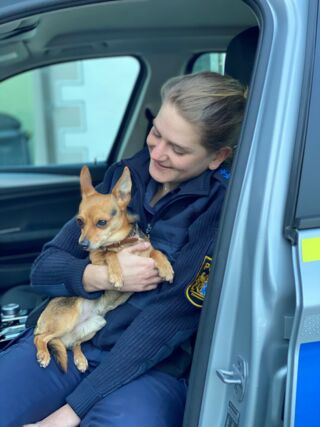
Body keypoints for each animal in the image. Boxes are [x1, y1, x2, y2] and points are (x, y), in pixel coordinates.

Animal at [33, 166, 174, 372]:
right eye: (79, 222)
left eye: (102, 222)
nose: (82, 244)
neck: (122, 243)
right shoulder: (96, 259)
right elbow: (109, 254)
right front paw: (116, 274)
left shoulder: (146, 250)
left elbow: (156, 251)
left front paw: (166, 267)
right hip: (65, 321)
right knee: (40, 337)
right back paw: (43, 354)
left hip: (94, 325)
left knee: (72, 344)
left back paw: (80, 359)